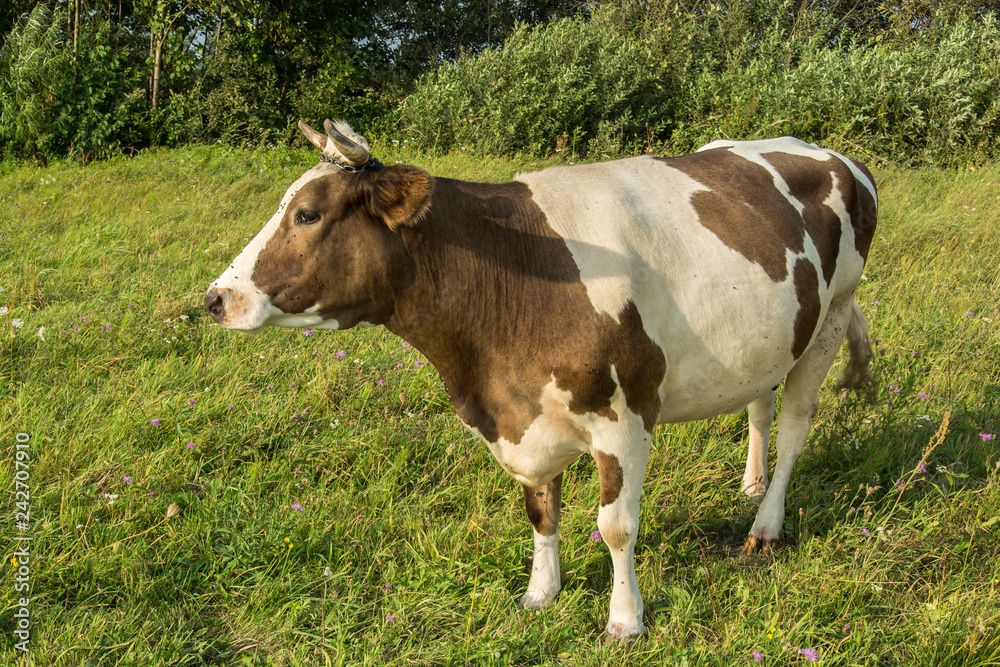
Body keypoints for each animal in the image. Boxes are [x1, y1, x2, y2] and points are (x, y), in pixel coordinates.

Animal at [203, 117, 876, 640]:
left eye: (307, 214)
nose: (216, 298)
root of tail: (834, 155)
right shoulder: (522, 418)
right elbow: (540, 511)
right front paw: (540, 595)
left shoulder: (625, 416)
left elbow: (616, 527)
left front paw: (625, 620)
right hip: (772, 337)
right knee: (760, 408)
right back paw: (750, 486)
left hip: (831, 317)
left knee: (794, 428)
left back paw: (766, 524)